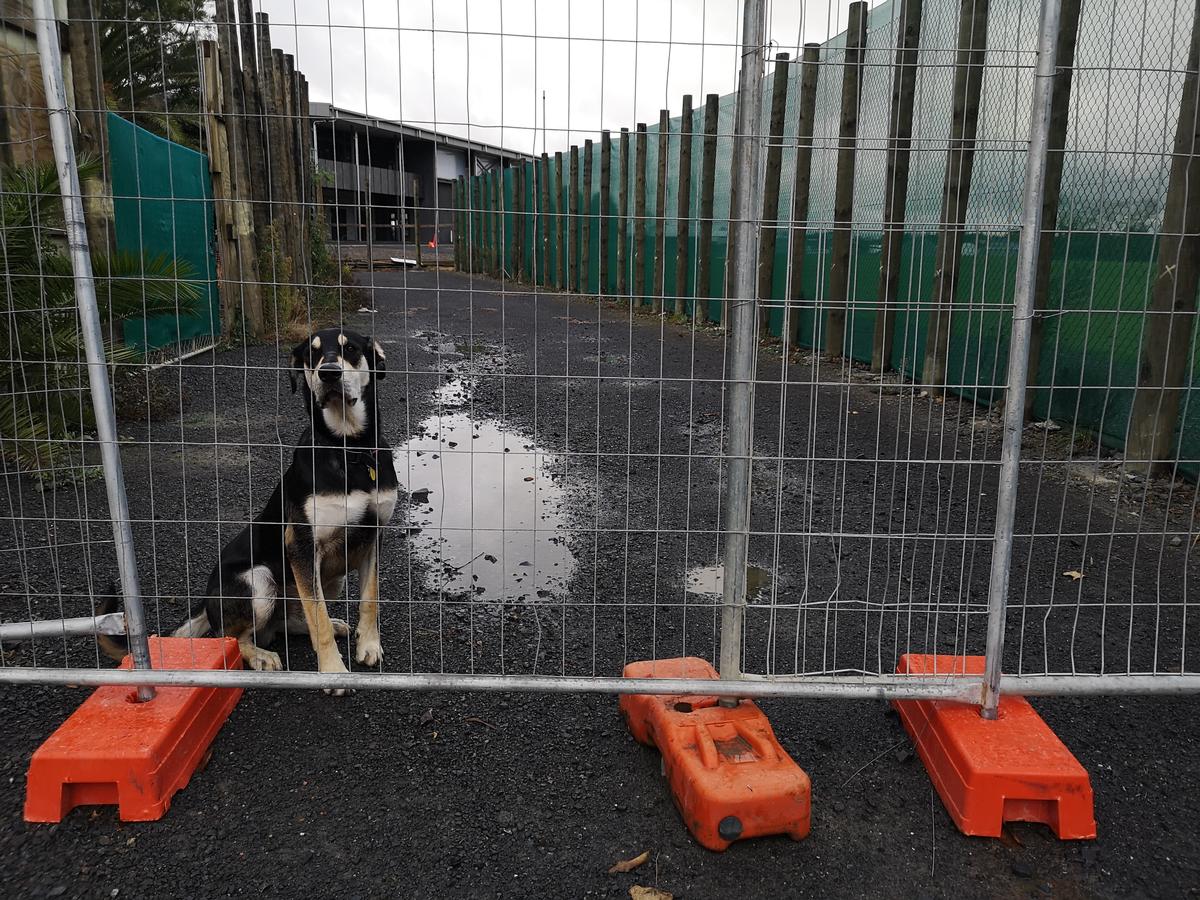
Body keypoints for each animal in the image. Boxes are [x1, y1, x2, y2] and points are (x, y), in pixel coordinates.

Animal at [108, 328, 398, 696]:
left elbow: (368, 599)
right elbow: (316, 618)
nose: (329, 374)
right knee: (232, 637)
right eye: (312, 355)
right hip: (259, 581)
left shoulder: (371, 537)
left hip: (332, 578)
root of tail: (206, 600)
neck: (350, 450)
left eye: (352, 350)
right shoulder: (301, 545)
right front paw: (334, 672)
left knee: (289, 620)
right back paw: (260, 656)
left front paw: (369, 646)